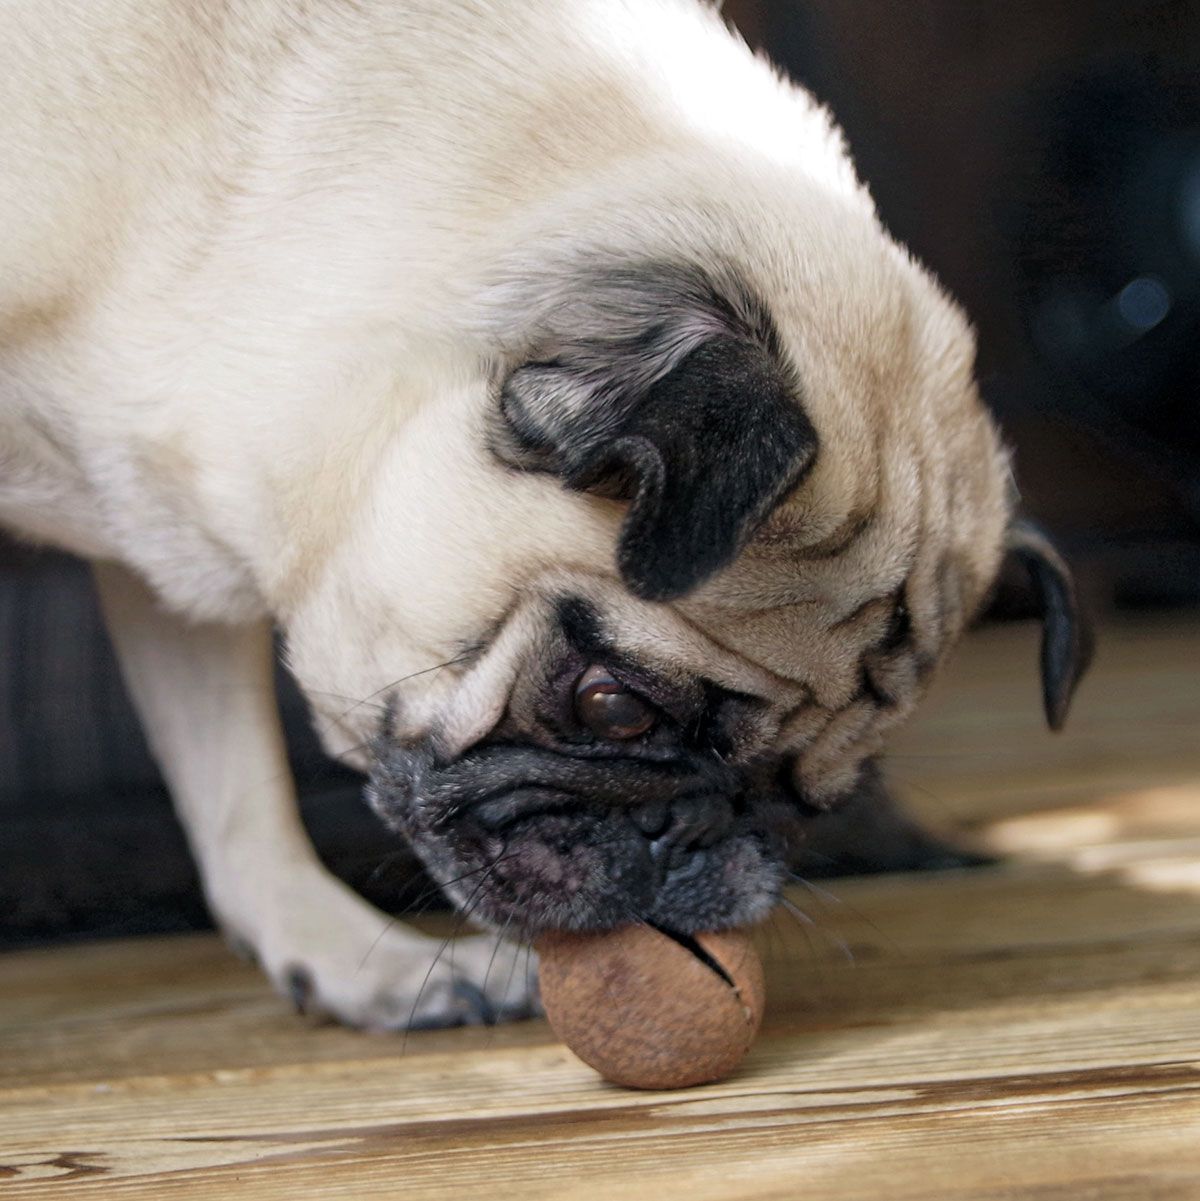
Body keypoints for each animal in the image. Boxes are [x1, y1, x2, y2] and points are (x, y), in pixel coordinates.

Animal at [0, 4, 1090, 1028]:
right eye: (611, 706)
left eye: (819, 798)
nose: (693, 829)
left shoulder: (168, 581)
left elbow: (238, 792)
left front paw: (350, 959)